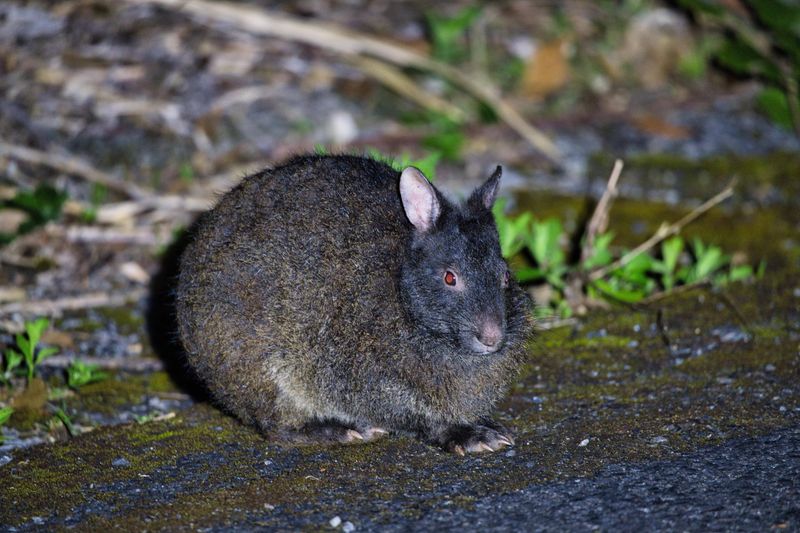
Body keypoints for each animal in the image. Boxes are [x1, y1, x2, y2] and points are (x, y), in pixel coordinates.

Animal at [175, 154, 533, 454]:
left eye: (504, 275)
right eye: (449, 277)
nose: (492, 338)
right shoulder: (369, 382)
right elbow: (417, 416)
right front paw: (466, 434)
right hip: (265, 371)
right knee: (276, 428)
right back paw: (336, 430)